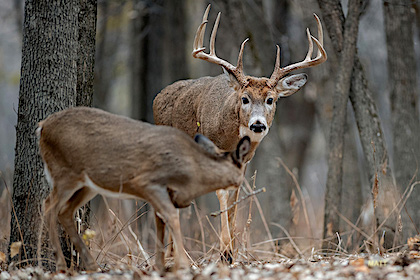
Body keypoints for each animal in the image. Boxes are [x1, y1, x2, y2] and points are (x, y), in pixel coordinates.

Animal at [37, 106, 249, 272]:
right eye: (240, 166)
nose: (241, 182)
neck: (191, 172)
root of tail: (42, 126)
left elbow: (161, 226)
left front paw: (161, 266)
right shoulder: (147, 182)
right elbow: (172, 217)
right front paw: (182, 265)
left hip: (87, 184)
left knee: (64, 212)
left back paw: (91, 265)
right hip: (64, 172)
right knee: (48, 206)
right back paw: (55, 263)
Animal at [153, 4, 326, 262]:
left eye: (271, 99)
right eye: (244, 98)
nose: (258, 125)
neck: (230, 138)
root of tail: (158, 96)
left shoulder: (244, 162)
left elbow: (235, 200)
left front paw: (234, 248)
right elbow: (222, 194)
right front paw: (225, 251)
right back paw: (173, 254)